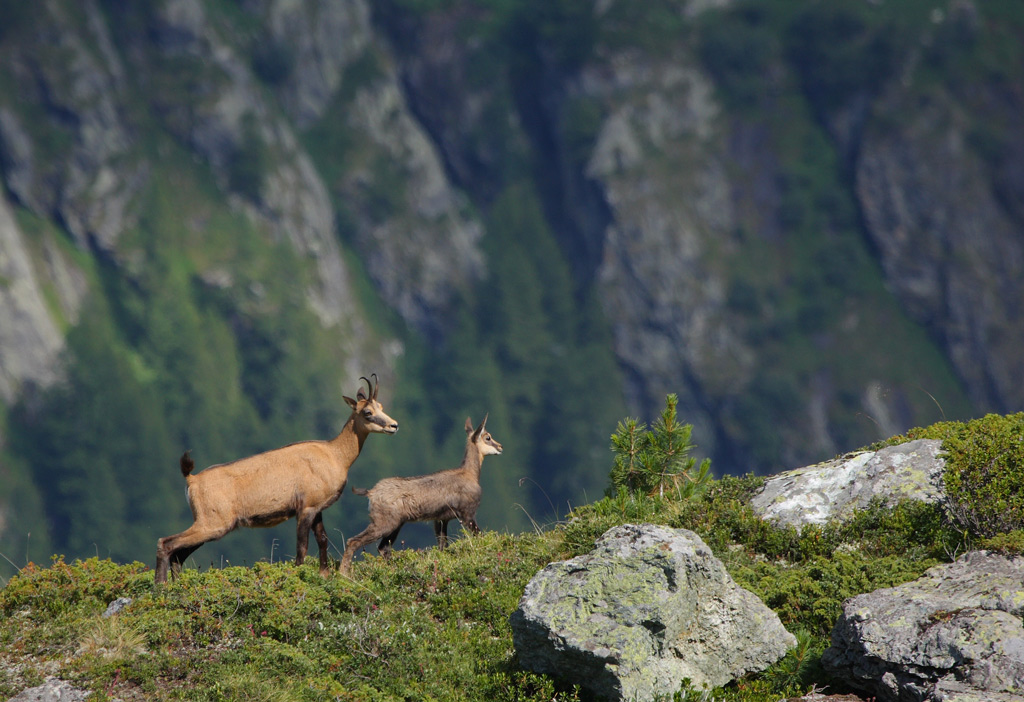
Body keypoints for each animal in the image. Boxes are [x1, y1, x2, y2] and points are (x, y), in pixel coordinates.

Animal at [154, 375, 398, 584]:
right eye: (367, 412)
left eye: (381, 407)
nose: (394, 425)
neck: (335, 455)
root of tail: (192, 480)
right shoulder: (306, 508)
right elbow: (302, 547)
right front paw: (299, 576)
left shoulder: (317, 508)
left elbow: (322, 540)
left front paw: (324, 575)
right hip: (213, 522)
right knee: (166, 543)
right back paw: (161, 586)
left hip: (209, 524)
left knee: (179, 554)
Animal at [340, 414, 502, 573]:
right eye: (487, 437)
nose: (500, 447)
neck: (469, 474)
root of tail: (371, 492)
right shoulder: (468, 514)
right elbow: (479, 536)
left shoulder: (441, 519)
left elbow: (443, 545)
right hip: (384, 522)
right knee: (353, 541)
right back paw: (344, 573)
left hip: (396, 523)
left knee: (383, 548)